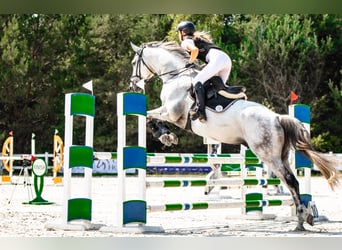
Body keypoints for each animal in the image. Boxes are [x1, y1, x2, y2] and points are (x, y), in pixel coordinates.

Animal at [129, 40, 340, 230]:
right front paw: (166, 135)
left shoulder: (171, 113)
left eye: (133, 62)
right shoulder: (170, 113)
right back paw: (304, 217)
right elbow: (150, 116)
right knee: (291, 181)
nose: (133, 87)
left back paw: (301, 219)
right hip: (280, 155)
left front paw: (165, 135)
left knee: (290, 180)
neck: (175, 76)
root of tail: (277, 117)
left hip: (268, 155)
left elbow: (149, 116)